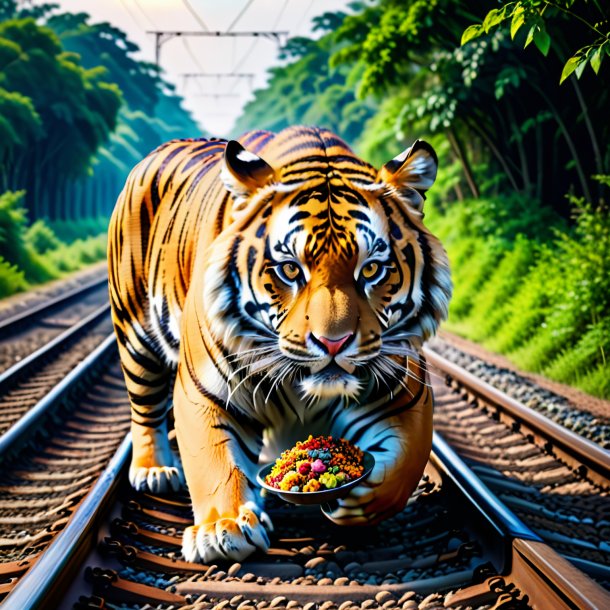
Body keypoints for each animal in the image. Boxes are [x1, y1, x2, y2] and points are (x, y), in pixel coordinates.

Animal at [108, 123, 452, 560]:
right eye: (290, 269)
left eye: (372, 269)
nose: (333, 343)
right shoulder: (204, 389)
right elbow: (214, 460)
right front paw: (223, 528)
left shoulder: (403, 391)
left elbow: (408, 459)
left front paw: (360, 501)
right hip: (135, 333)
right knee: (145, 407)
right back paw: (154, 470)